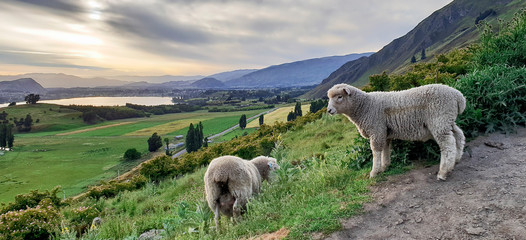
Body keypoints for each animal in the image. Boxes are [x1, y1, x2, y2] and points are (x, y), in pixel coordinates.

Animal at [328, 84, 468, 180]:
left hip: (439, 121)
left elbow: (376, 152)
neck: (365, 106)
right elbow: (385, 149)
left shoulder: (376, 130)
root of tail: (458, 96)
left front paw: (374, 172)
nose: (329, 110)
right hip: (447, 121)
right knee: (459, 135)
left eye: (339, 97)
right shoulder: (384, 132)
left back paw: (443, 172)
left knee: (448, 145)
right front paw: (384, 166)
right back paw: (456, 159)